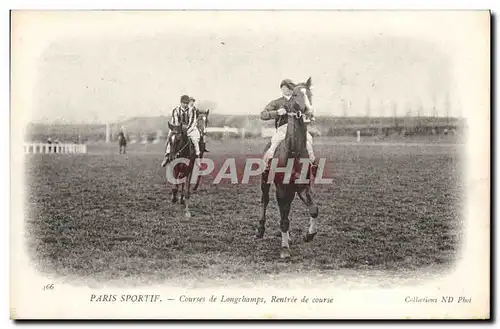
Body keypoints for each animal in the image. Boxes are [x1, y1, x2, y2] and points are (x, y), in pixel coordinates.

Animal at [256, 77, 318, 258]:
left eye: (310, 94)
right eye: (296, 94)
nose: (309, 111)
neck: (293, 151)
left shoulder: (303, 187)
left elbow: (314, 210)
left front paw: (309, 235)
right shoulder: (281, 189)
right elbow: (284, 219)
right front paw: (284, 249)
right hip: (265, 181)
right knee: (265, 200)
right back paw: (260, 230)